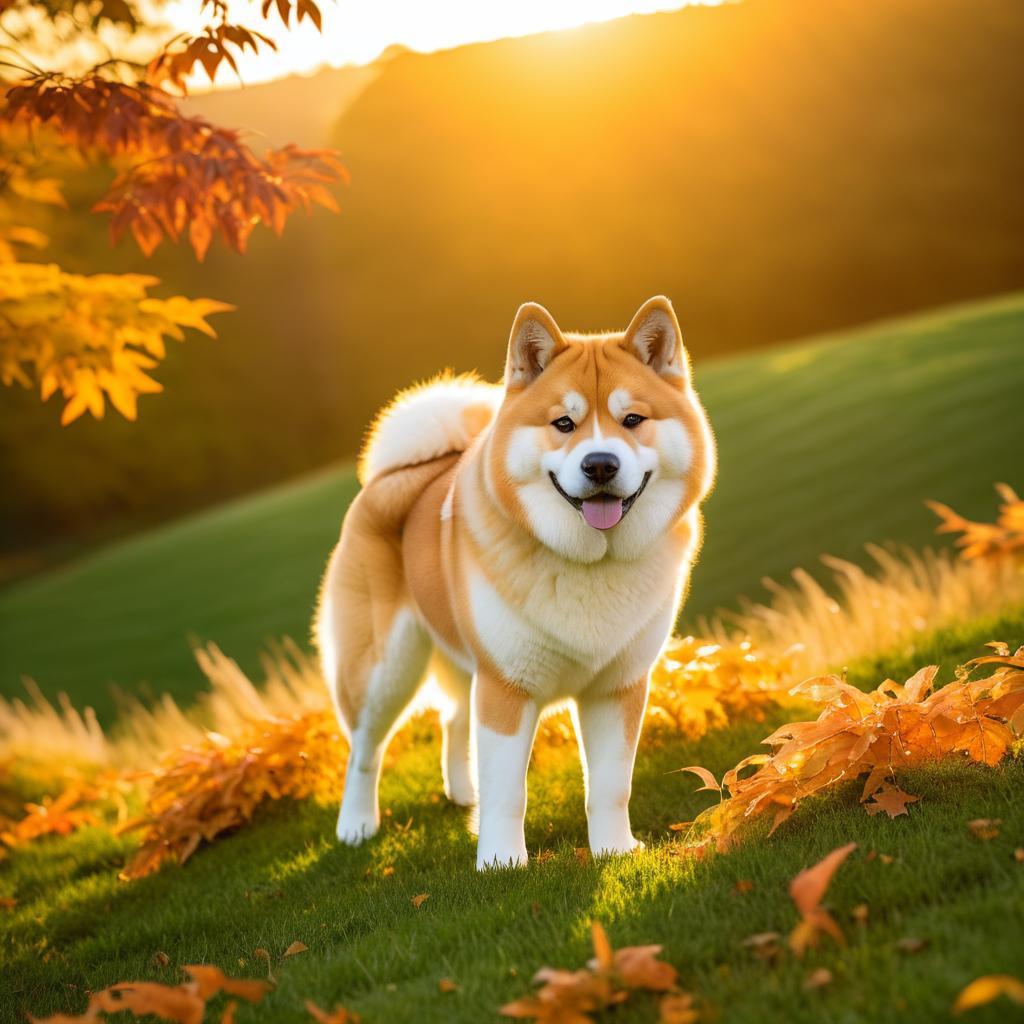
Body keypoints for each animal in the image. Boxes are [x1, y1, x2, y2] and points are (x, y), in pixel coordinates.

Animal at [315, 299, 716, 872]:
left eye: (633, 420)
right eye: (563, 423)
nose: (600, 464)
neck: (589, 564)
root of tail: (396, 476)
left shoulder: (617, 688)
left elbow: (610, 787)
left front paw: (614, 849)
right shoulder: (507, 685)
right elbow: (509, 791)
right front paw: (500, 863)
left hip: (460, 657)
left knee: (453, 719)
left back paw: (463, 794)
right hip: (383, 670)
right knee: (364, 751)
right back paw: (356, 825)